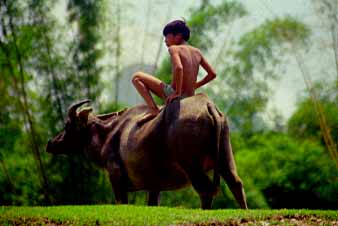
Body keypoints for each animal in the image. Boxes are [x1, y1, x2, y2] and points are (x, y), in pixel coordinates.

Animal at [46, 93, 247, 208]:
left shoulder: (116, 176)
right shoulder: (154, 186)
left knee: (206, 190)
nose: (50, 143)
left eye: (68, 125)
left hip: (192, 166)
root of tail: (207, 105)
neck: (109, 134)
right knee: (236, 183)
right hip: (226, 158)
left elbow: (121, 201)